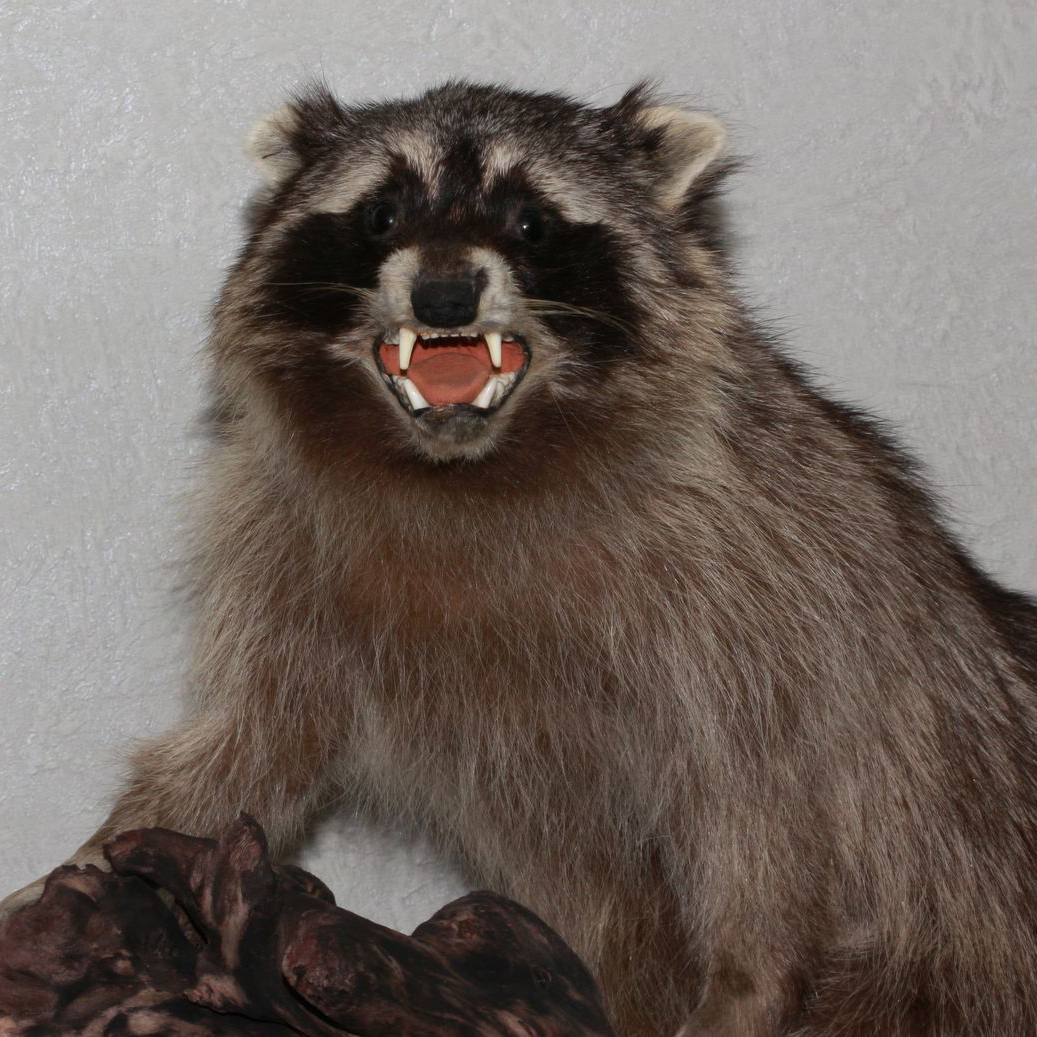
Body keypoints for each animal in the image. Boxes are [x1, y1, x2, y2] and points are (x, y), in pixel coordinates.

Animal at [7, 82, 1037, 1036]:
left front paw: (749, 977)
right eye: (382, 213)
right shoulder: (282, 557)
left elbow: (756, 807)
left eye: (533, 220)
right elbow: (243, 744)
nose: (445, 292)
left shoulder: (762, 584)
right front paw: (93, 858)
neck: (468, 475)